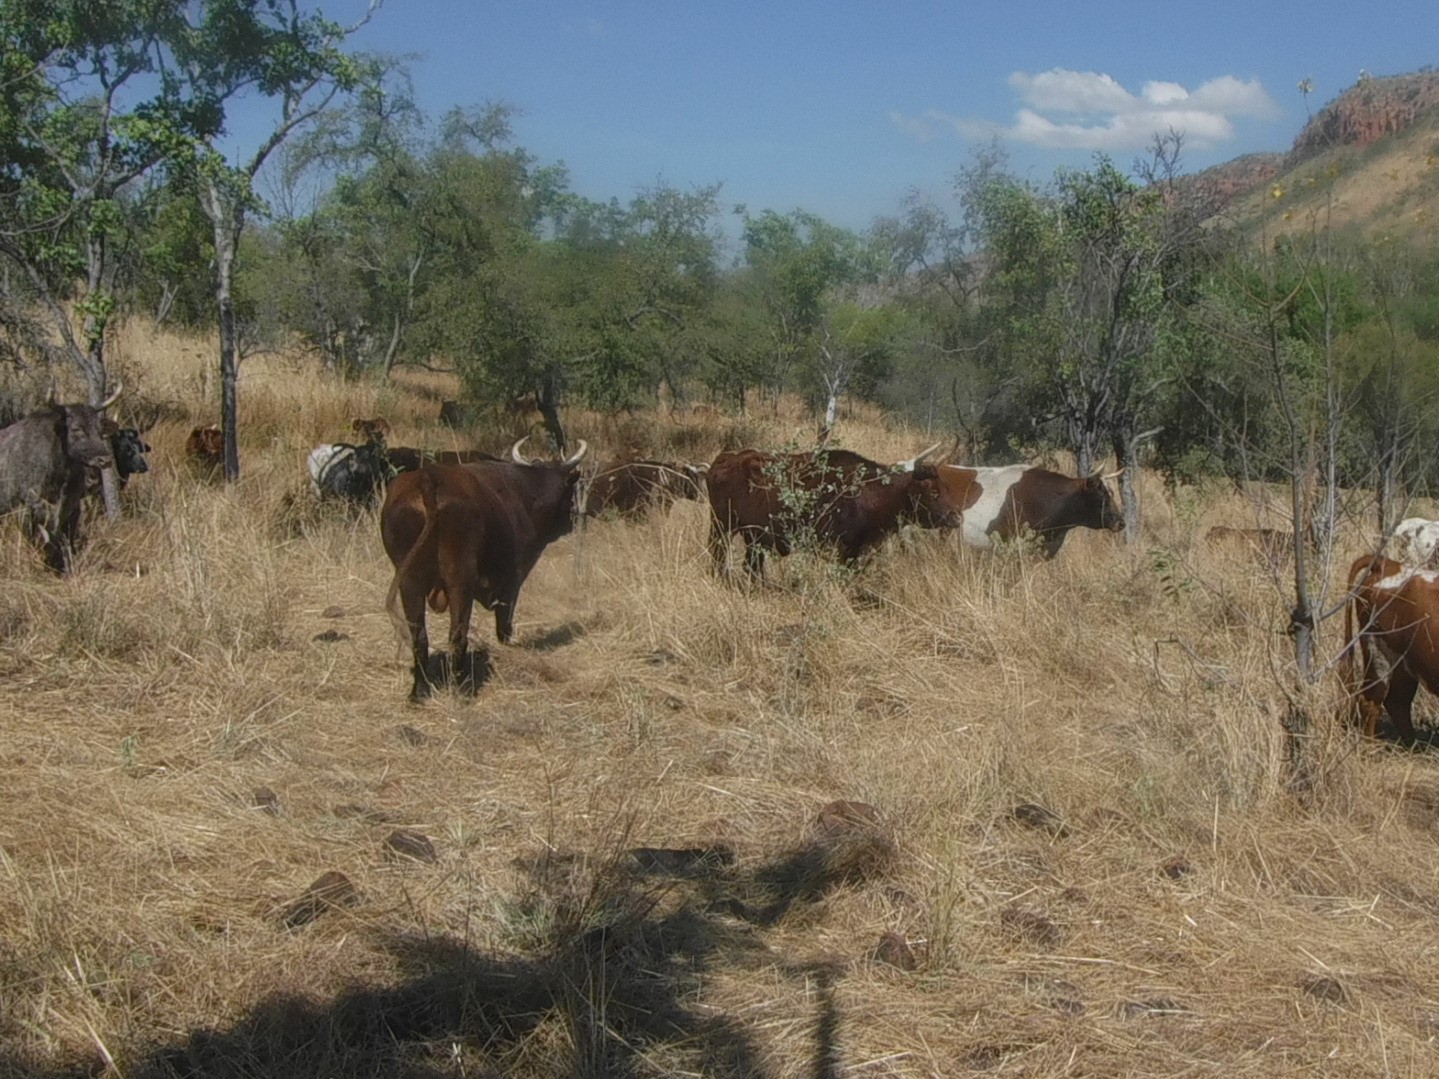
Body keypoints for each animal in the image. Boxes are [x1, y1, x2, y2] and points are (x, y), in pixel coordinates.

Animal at [382, 437, 589, 702]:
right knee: (458, 634)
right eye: (569, 492)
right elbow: (504, 625)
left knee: (419, 636)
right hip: (460, 579)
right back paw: (461, 688)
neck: (523, 494)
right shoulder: (512, 582)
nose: (571, 523)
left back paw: (419, 691)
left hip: (409, 582)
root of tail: (429, 478)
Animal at [705, 443, 961, 584]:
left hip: (753, 539)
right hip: (721, 527)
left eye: (947, 488)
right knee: (718, 557)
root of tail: (726, 459)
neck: (870, 490)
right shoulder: (843, 549)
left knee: (751, 566)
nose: (956, 517)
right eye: (933, 491)